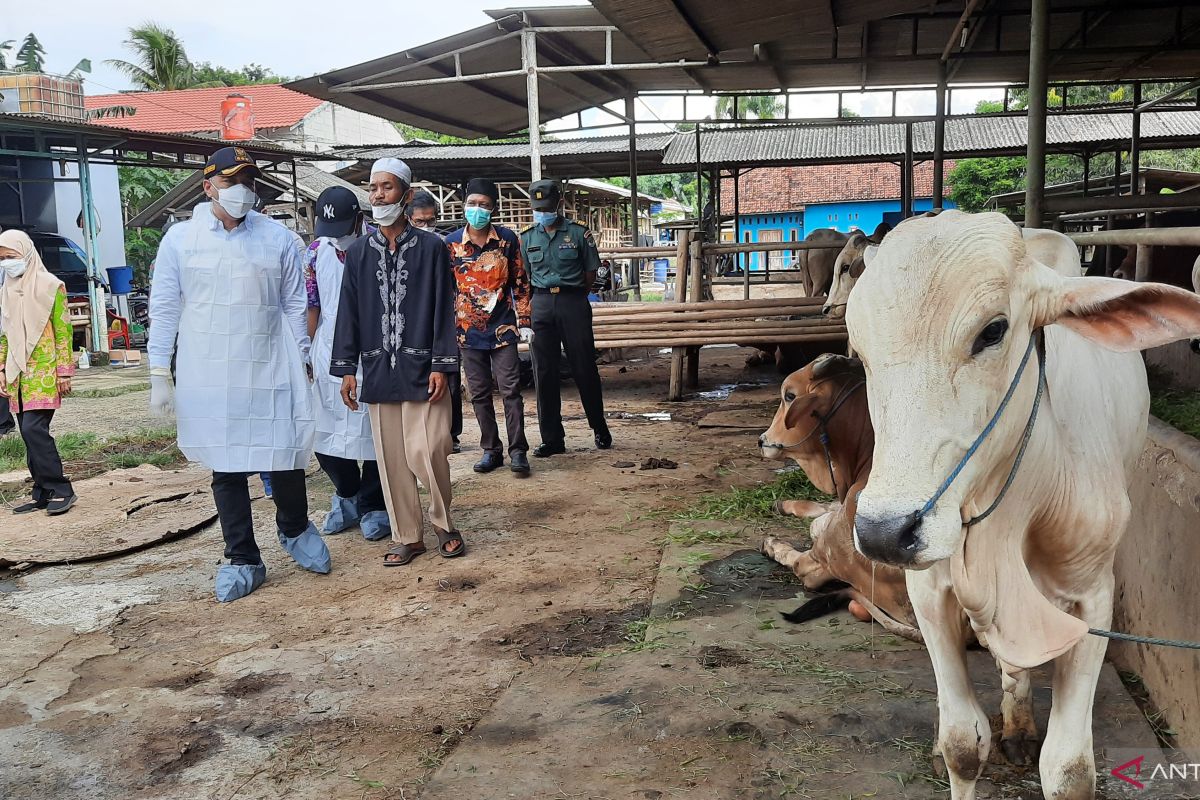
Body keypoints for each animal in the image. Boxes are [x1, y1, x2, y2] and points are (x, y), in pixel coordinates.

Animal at [844, 211, 1200, 800]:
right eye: (858, 346)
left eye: (993, 331)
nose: (885, 532)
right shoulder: (930, 587)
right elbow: (962, 744)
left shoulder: (1092, 597)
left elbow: (1069, 769)